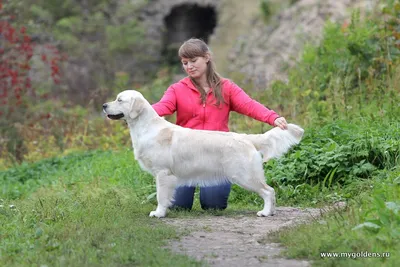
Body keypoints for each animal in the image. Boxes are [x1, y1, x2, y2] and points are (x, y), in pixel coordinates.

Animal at [103, 91, 304, 219]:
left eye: (119, 100)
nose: (104, 105)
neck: (146, 128)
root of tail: (247, 138)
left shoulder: (163, 173)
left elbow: (160, 196)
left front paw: (158, 213)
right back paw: (271, 211)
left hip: (244, 175)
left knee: (268, 191)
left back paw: (265, 212)